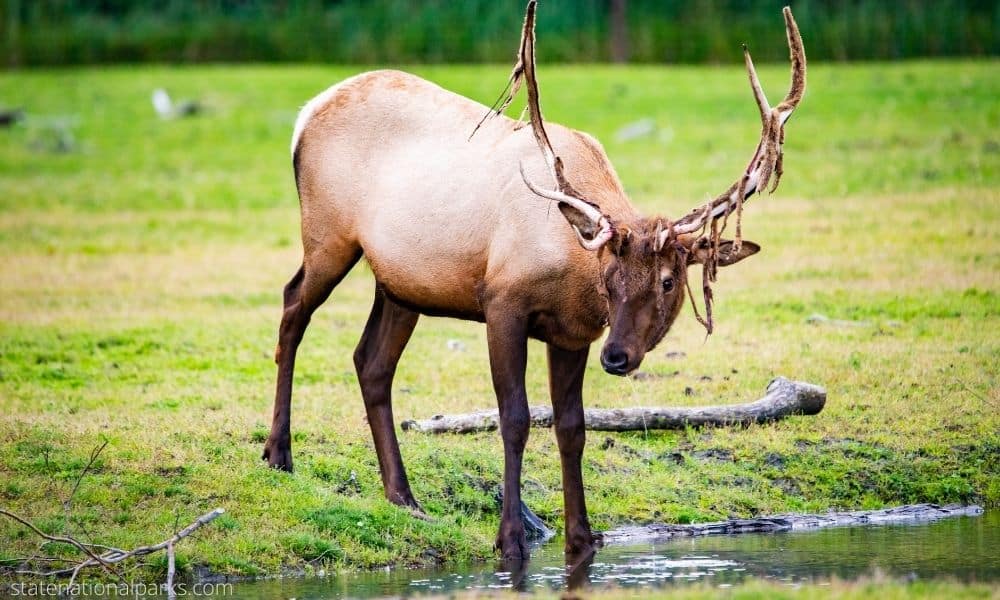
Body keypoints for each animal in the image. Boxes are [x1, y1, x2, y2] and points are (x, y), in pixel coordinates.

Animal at [264, 1, 804, 564]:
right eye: (608, 278)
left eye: (669, 281)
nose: (618, 356)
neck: (570, 270)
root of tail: (305, 115)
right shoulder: (502, 302)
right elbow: (516, 417)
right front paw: (510, 540)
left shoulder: (572, 334)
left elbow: (571, 426)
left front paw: (581, 539)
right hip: (327, 235)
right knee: (292, 307)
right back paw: (278, 454)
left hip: (399, 283)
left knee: (370, 362)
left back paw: (403, 495)